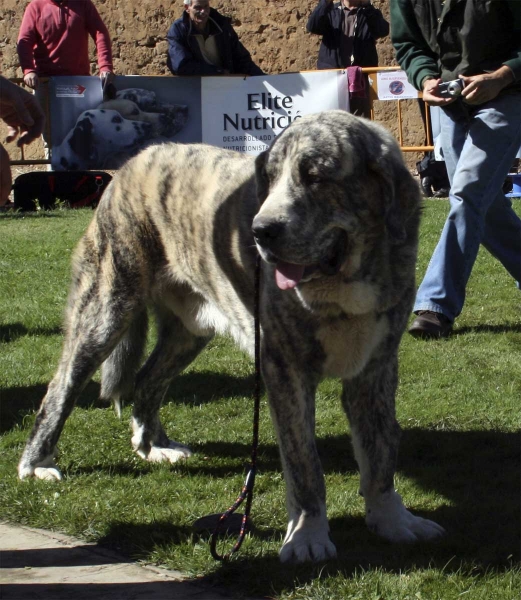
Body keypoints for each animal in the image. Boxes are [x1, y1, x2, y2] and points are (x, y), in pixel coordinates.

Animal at [19, 110, 442, 560]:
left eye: (315, 177)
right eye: (269, 179)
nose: (261, 231)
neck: (345, 283)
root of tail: (135, 161)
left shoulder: (375, 370)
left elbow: (380, 454)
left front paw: (392, 519)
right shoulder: (286, 373)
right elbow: (305, 465)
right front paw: (308, 535)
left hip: (189, 331)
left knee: (148, 379)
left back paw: (153, 446)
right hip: (105, 311)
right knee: (61, 389)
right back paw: (37, 463)